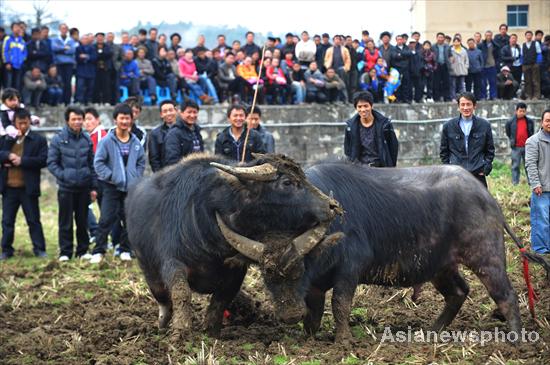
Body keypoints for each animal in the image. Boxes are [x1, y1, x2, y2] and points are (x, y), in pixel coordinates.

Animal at [126, 152, 340, 334]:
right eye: (287, 182)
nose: (332, 205)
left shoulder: (235, 272)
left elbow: (220, 301)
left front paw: (211, 331)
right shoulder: (172, 262)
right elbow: (181, 292)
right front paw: (181, 330)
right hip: (149, 271)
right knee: (164, 300)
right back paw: (162, 325)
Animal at [221, 161, 550, 342]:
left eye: (299, 268)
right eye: (267, 276)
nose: (288, 314)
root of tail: (486, 197)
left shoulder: (350, 268)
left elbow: (340, 304)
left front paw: (343, 341)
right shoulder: (315, 283)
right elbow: (314, 311)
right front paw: (310, 335)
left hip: (486, 254)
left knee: (506, 294)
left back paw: (516, 339)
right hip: (440, 264)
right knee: (458, 291)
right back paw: (431, 331)